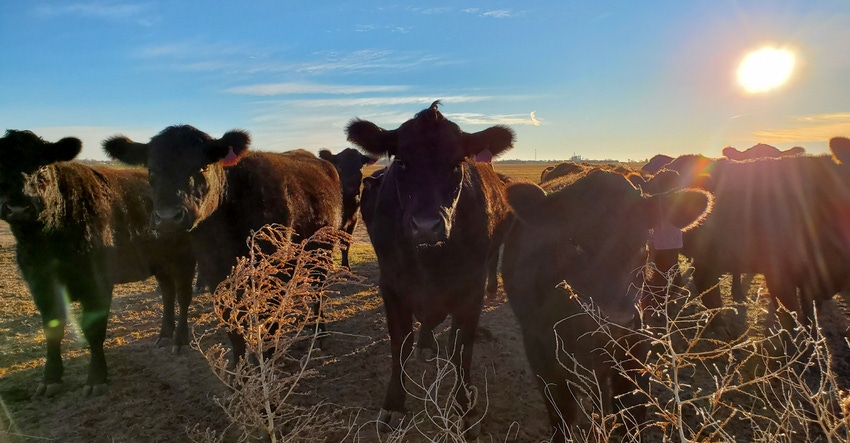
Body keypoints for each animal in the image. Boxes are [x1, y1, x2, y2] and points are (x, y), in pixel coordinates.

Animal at [0, 130, 194, 398]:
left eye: (43, 165)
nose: (18, 206)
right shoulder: (40, 284)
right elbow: (52, 328)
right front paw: (50, 379)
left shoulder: (97, 283)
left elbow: (93, 330)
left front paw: (96, 379)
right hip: (160, 261)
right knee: (167, 293)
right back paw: (164, 336)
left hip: (184, 259)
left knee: (183, 296)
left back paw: (180, 341)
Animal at [104, 125, 342, 360]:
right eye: (151, 170)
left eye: (202, 166)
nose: (168, 217)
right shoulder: (213, 271)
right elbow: (232, 325)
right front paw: (240, 366)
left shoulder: (273, 271)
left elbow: (268, 322)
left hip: (321, 252)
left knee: (318, 290)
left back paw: (320, 334)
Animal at [342, 100, 510, 438]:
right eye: (402, 162)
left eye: (457, 163)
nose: (426, 226)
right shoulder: (391, 286)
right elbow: (399, 345)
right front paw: (393, 404)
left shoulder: (470, 289)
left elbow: (462, 350)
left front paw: (465, 409)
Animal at [500, 168, 712, 438]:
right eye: (572, 242)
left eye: (644, 244)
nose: (615, 321)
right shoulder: (542, 356)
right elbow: (563, 417)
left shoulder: (636, 348)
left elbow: (632, 414)